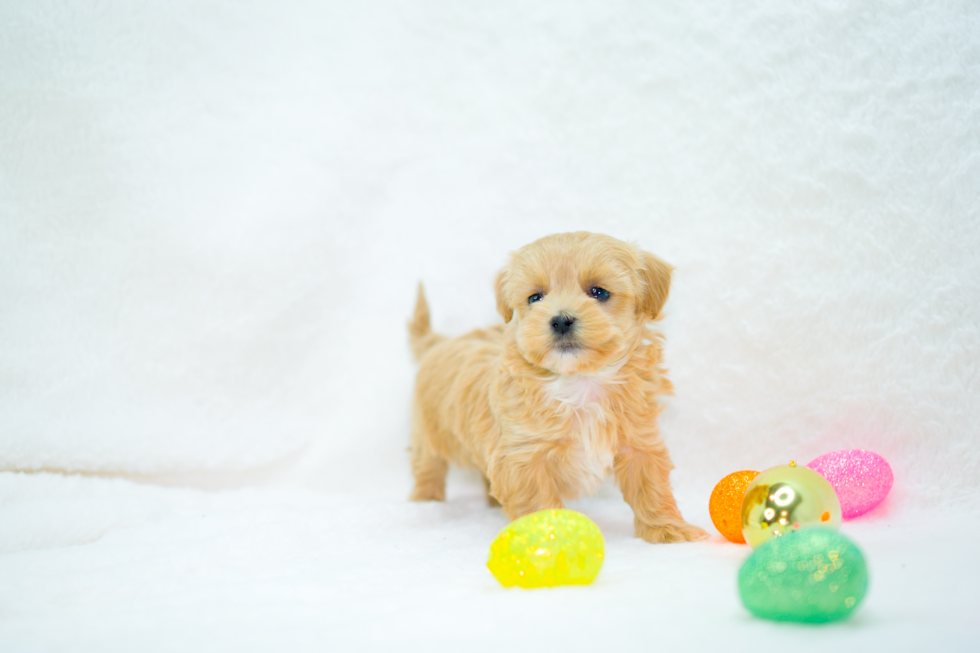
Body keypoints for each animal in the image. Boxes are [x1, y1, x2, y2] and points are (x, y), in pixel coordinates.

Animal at [406, 232, 704, 544]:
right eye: (535, 297)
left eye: (599, 292)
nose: (561, 320)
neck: (580, 381)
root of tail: (440, 342)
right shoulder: (523, 455)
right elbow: (537, 501)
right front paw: (546, 540)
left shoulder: (639, 441)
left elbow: (651, 489)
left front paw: (667, 529)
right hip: (428, 431)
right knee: (428, 465)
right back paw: (425, 501)